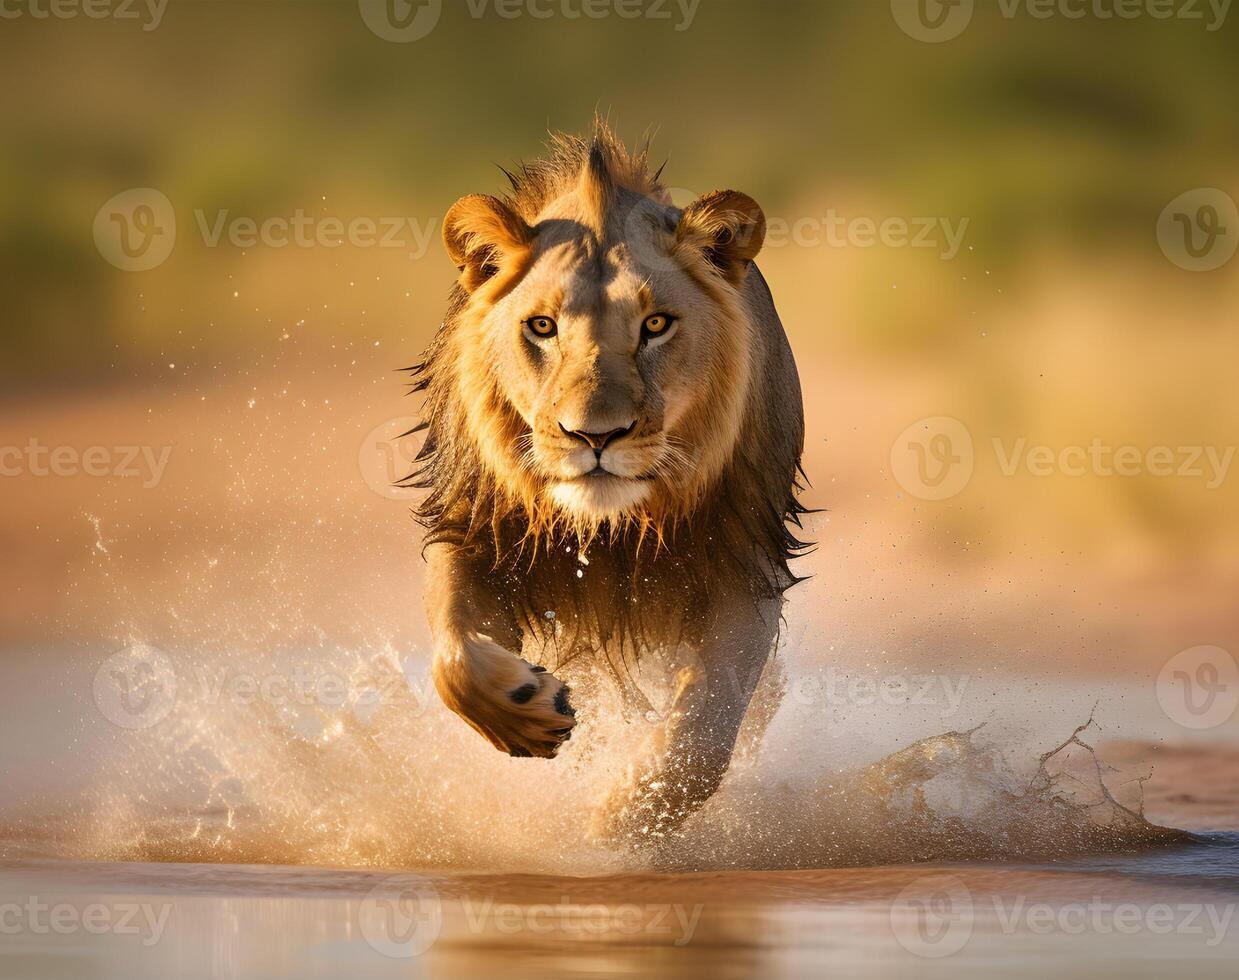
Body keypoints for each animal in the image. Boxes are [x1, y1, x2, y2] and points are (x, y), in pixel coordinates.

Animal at [406, 120, 807, 842]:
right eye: (542, 326)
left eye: (655, 325)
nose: (595, 436)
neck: (612, 527)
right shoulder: (474, 533)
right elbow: (454, 655)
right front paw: (526, 712)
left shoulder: (745, 567)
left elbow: (703, 732)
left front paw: (619, 823)